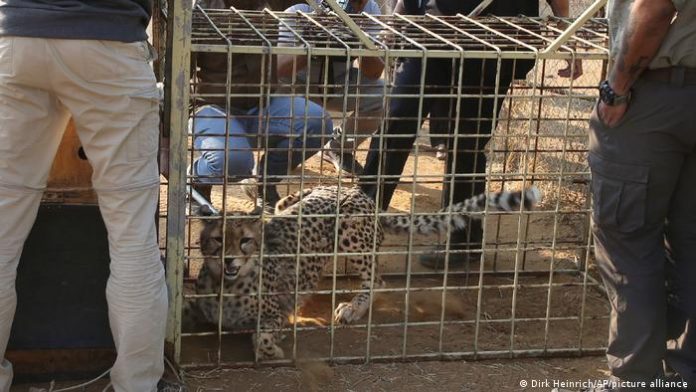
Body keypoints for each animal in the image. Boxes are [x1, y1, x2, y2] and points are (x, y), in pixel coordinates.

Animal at [184, 185, 540, 360]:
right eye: (218, 240)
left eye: (244, 241)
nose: (230, 260)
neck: (227, 284)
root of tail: (361, 195)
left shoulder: (277, 313)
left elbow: (264, 334)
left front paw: (272, 349)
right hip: (292, 202)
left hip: (350, 233)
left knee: (376, 278)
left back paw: (352, 308)